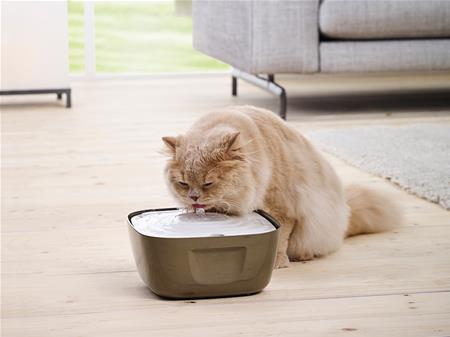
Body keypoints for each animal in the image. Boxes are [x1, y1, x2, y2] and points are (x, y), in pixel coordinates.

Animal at [163, 105, 404, 268]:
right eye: (183, 183)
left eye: (208, 183)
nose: (193, 198)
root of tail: (347, 209)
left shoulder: (284, 209)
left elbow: (281, 238)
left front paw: (278, 262)